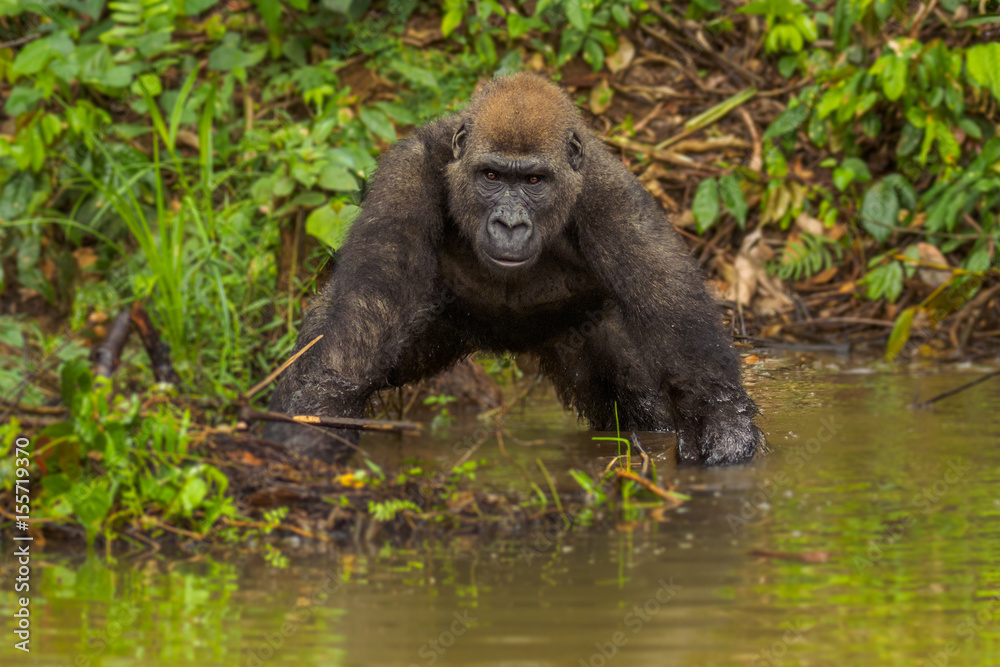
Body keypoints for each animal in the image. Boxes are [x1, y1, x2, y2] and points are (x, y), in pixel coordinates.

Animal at [265, 72, 763, 466]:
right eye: (491, 176)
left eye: (533, 181)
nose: (509, 223)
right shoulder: (408, 173)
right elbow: (370, 305)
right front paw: (319, 410)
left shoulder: (611, 195)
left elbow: (670, 304)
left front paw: (721, 419)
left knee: (642, 398)